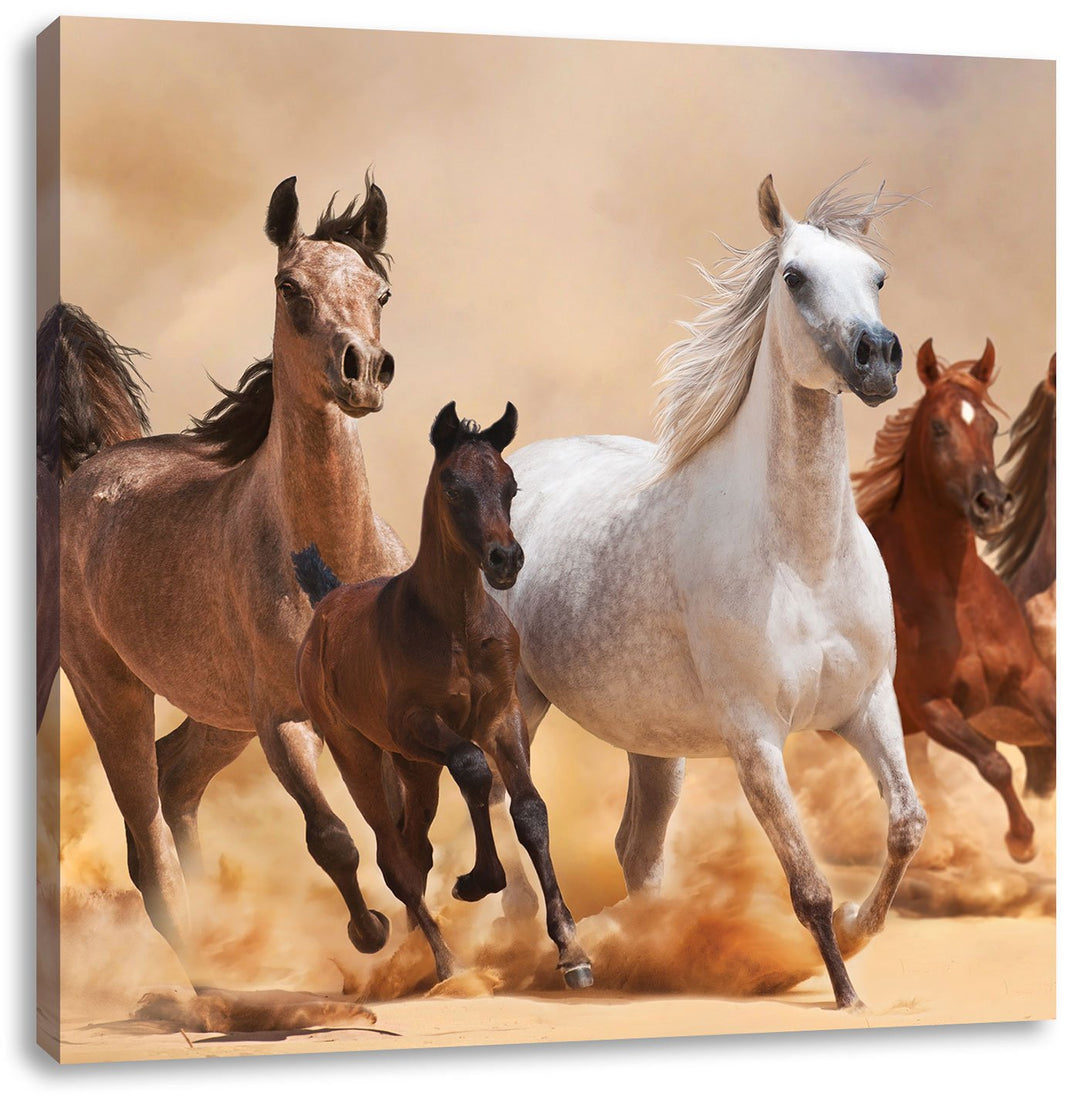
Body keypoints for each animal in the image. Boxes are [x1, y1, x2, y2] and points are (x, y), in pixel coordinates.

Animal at [57, 176, 411, 977]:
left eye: (380, 290)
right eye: (289, 287)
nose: (363, 370)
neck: (330, 560)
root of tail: (88, 468)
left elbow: (403, 829)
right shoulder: (283, 720)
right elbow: (333, 839)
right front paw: (370, 933)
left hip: (219, 715)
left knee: (176, 778)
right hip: (112, 692)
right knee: (149, 827)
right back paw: (206, 970)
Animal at [292, 402, 594, 989]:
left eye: (510, 485)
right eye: (453, 485)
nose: (505, 559)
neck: (455, 625)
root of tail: (327, 601)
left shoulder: (502, 715)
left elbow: (529, 810)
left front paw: (572, 950)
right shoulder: (418, 723)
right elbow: (473, 768)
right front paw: (477, 881)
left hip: (415, 769)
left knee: (416, 846)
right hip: (359, 753)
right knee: (395, 859)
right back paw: (443, 962)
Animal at [490, 172, 926, 1010]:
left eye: (879, 277)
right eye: (794, 276)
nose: (879, 358)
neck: (802, 559)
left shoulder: (867, 704)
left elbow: (905, 826)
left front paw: (862, 929)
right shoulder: (755, 737)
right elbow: (807, 884)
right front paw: (845, 989)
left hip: (655, 745)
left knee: (637, 849)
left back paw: (651, 953)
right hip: (517, 705)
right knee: (515, 816)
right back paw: (562, 953)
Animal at [852, 338, 1056, 858]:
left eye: (991, 426)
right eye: (938, 427)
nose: (992, 504)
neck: (956, 599)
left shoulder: (1030, 679)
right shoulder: (932, 706)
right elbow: (994, 764)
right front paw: (1022, 840)